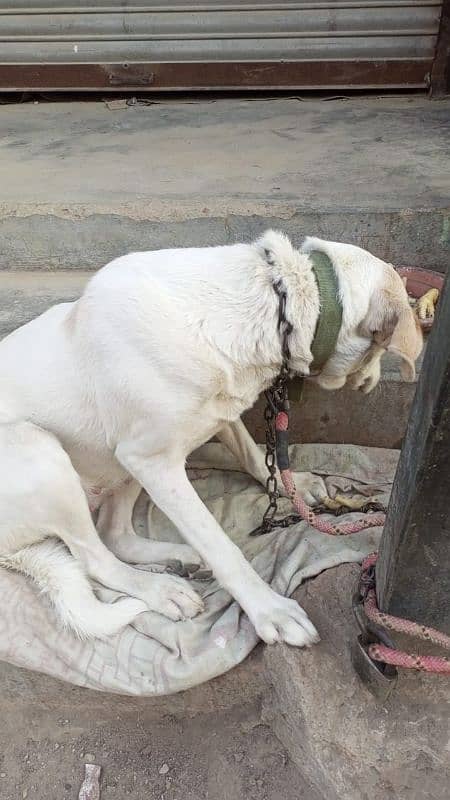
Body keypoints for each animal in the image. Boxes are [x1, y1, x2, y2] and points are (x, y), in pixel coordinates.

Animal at [0, 230, 422, 644]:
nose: (372, 383)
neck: (270, 302)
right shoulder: (153, 462)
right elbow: (221, 546)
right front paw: (269, 609)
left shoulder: (217, 416)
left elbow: (253, 454)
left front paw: (296, 486)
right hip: (42, 451)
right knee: (96, 558)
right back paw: (161, 589)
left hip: (120, 466)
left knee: (114, 534)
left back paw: (181, 558)